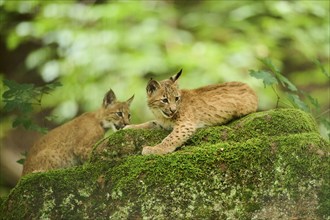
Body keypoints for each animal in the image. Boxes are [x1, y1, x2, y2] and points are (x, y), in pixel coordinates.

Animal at [126, 70, 258, 155]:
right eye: (164, 100)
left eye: (176, 98)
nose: (173, 110)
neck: (161, 114)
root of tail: (249, 86)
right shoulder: (162, 123)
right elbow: (149, 123)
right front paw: (129, 127)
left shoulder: (185, 125)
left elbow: (170, 138)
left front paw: (155, 149)